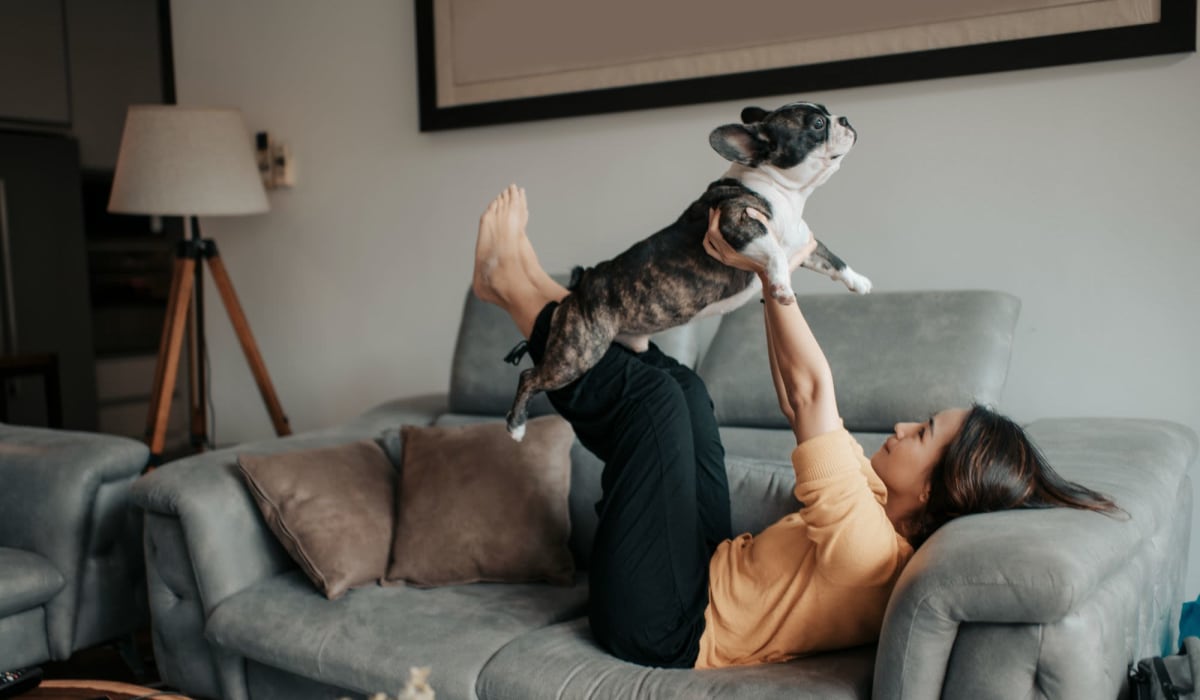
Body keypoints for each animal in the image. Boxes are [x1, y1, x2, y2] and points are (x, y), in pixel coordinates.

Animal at [506, 100, 873, 437]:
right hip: (577, 354)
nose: (844, 119)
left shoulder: (802, 243)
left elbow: (832, 259)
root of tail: (578, 288)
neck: (784, 191)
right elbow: (775, 254)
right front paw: (782, 286)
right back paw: (516, 426)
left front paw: (859, 281)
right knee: (530, 376)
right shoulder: (736, 222)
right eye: (816, 124)